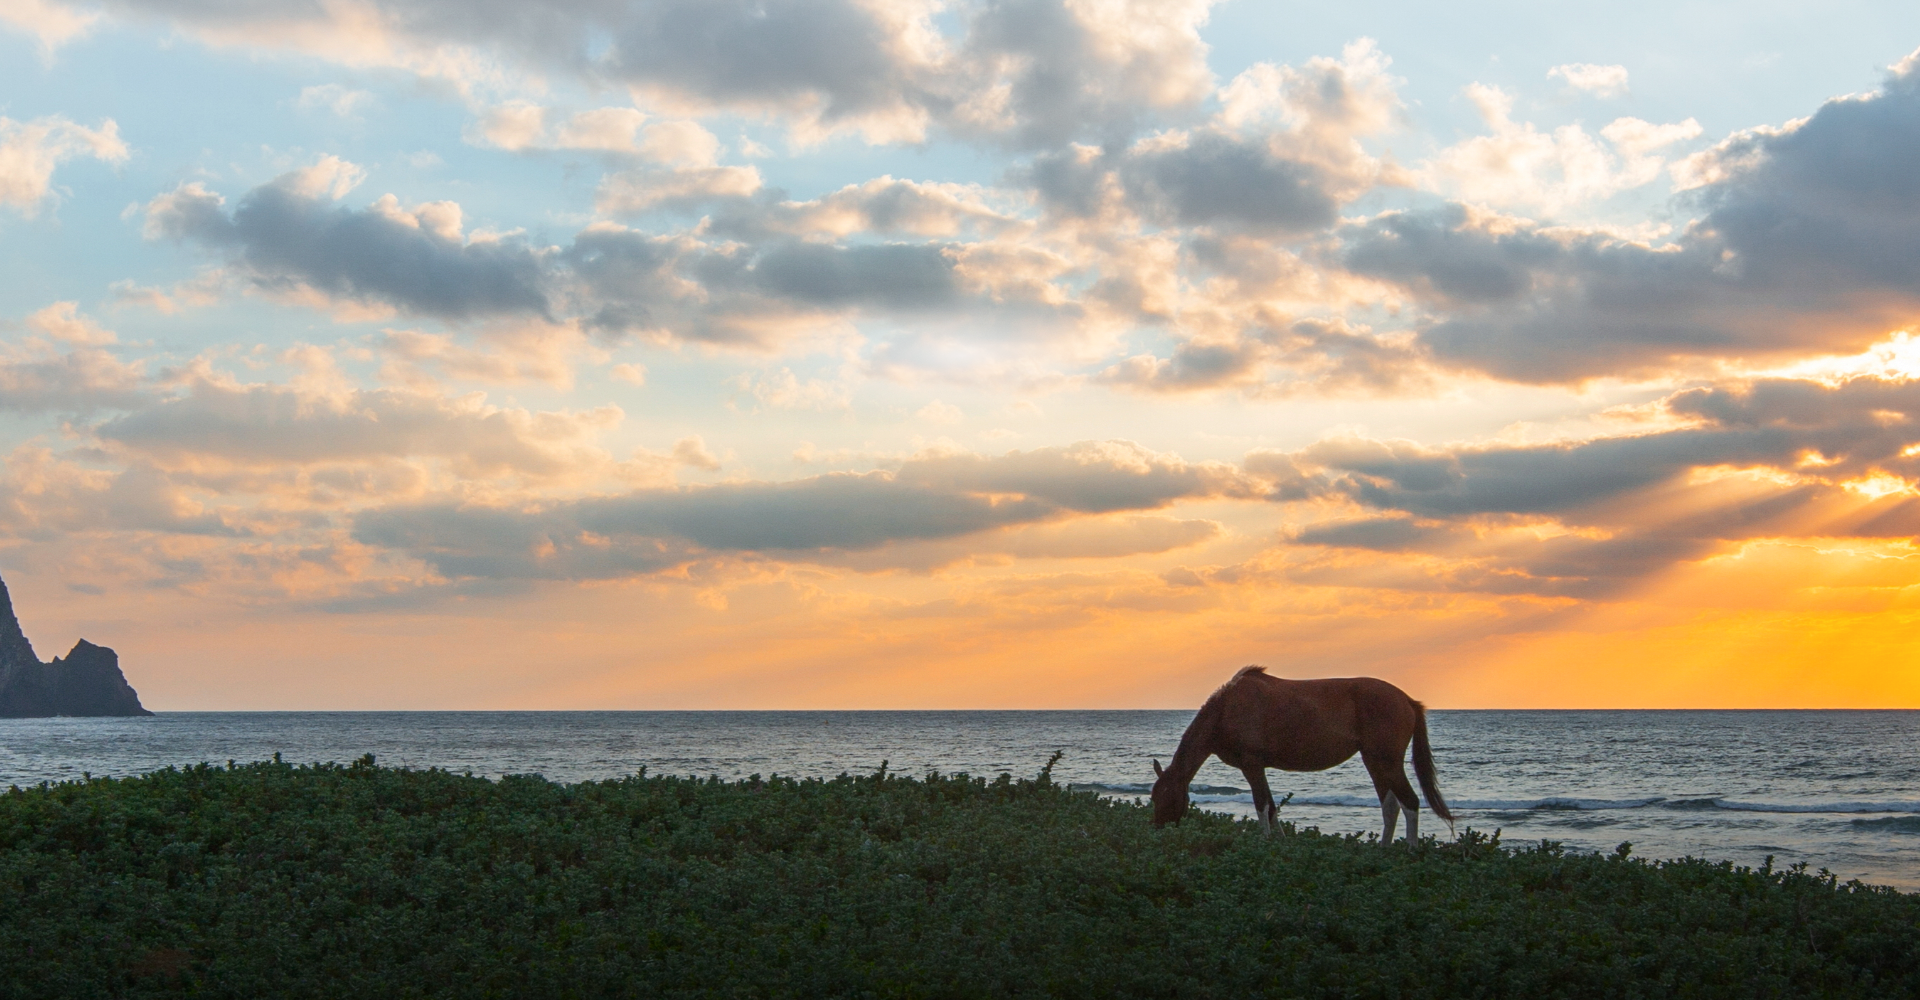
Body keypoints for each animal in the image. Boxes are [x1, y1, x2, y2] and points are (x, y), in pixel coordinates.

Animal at [1152, 664, 1451, 840]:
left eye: (1166, 797)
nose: (1158, 831)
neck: (1226, 710)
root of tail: (1407, 701)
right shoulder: (1257, 768)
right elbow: (1272, 807)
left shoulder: (1252, 765)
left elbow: (1262, 805)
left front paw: (1265, 843)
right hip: (1374, 761)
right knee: (1391, 805)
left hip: (1387, 761)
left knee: (1410, 802)